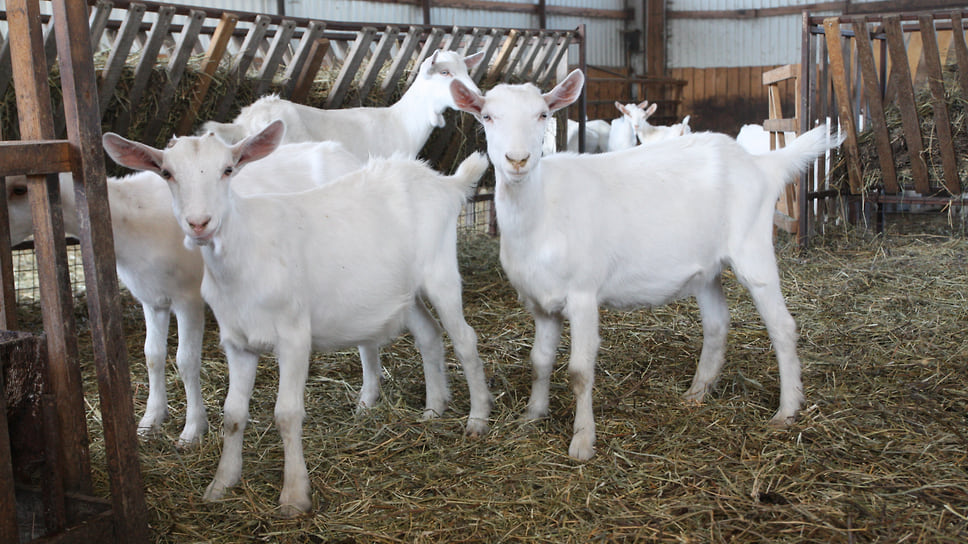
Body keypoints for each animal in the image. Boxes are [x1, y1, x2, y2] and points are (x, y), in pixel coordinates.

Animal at [4, 140, 364, 446]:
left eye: (19, 189)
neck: (129, 222)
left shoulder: (188, 298)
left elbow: (186, 360)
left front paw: (193, 429)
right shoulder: (152, 298)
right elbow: (152, 355)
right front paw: (150, 420)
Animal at [101, 121, 492, 516]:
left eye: (227, 169)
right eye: (167, 173)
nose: (199, 224)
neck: (246, 250)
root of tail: (446, 183)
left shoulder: (292, 336)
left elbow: (287, 413)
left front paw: (293, 496)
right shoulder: (236, 341)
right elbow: (232, 413)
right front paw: (221, 484)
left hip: (440, 272)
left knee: (465, 339)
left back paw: (477, 419)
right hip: (402, 292)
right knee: (429, 334)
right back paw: (434, 408)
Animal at [450, 67, 844, 460]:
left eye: (542, 115)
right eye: (488, 117)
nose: (517, 160)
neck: (542, 208)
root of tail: (762, 165)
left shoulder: (582, 295)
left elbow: (580, 371)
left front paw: (582, 441)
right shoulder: (540, 303)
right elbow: (539, 361)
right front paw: (532, 415)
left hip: (752, 248)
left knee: (782, 326)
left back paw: (786, 410)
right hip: (707, 268)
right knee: (717, 323)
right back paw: (697, 393)